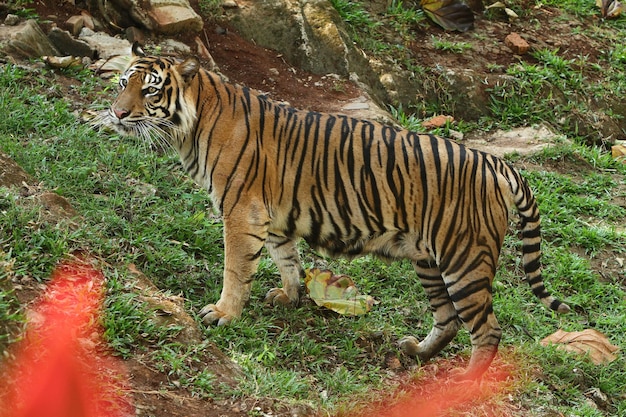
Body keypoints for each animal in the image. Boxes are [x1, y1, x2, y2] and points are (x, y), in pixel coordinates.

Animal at [95, 43, 568, 380]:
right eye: (122, 83)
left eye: (150, 89)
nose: (117, 112)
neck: (191, 125)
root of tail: (499, 163)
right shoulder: (272, 216)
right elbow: (287, 259)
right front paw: (289, 296)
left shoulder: (241, 211)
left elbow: (236, 267)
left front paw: (223, 313)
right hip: (430, 259)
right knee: (449, 319)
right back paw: (416, 352)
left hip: (464, 259)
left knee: (487, 331)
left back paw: (465, 382)